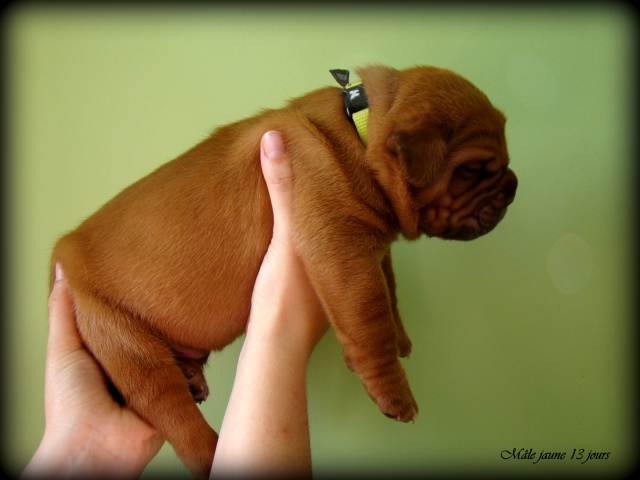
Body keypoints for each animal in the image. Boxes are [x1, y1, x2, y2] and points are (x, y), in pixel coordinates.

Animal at [52, 64, 516, 476]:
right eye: (471, 170)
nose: (513, 188)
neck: (360, 128)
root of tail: (62, 254)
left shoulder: (373, 249)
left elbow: (390, 291)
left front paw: (402, 337)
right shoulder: (342, 249)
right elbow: (371, 318)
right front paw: (394, 392)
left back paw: (192, 377)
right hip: (123, 343)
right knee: (174, 416)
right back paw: (209, 445)